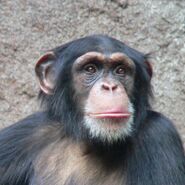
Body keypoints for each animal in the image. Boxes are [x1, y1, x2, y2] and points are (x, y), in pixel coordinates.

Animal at [0, 35, 184, 185]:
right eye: (90, 69)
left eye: (121, 70)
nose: (110, 86)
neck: (93, 143)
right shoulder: (27, 133)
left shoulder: (160, 133)